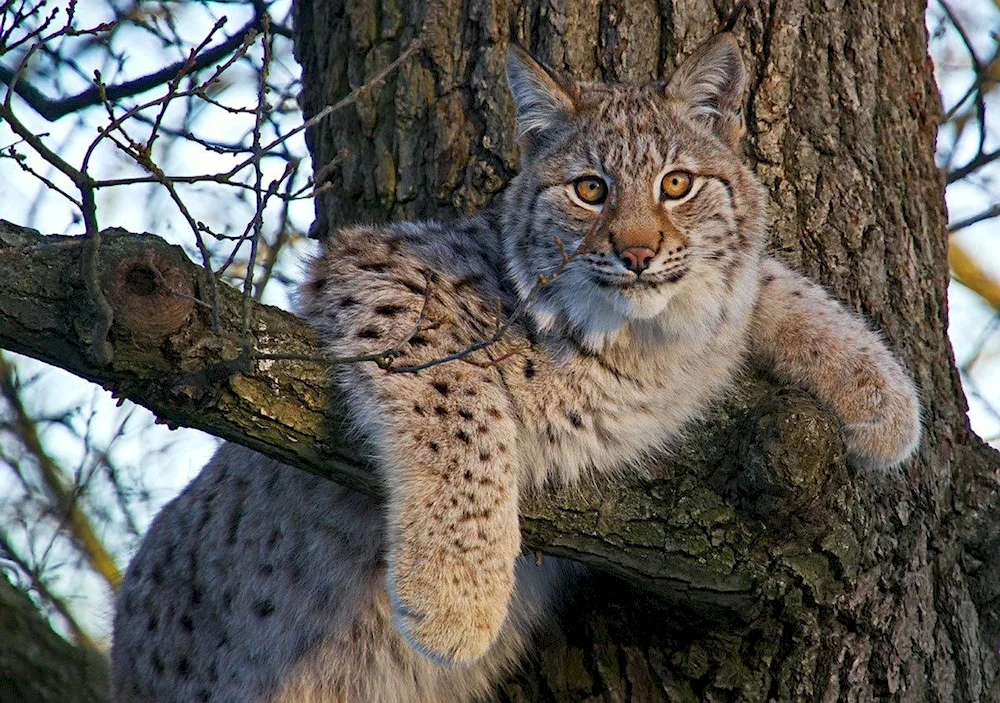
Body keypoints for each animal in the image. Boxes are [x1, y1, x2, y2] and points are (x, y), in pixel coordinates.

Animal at [111, 34, 920, 703]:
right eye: (590, 189)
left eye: (677, 184)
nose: (637, 253)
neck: (641, 338)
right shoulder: (372, 267)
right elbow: (460, 395)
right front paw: (456, 598)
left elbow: (763, 279)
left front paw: (885, 397)